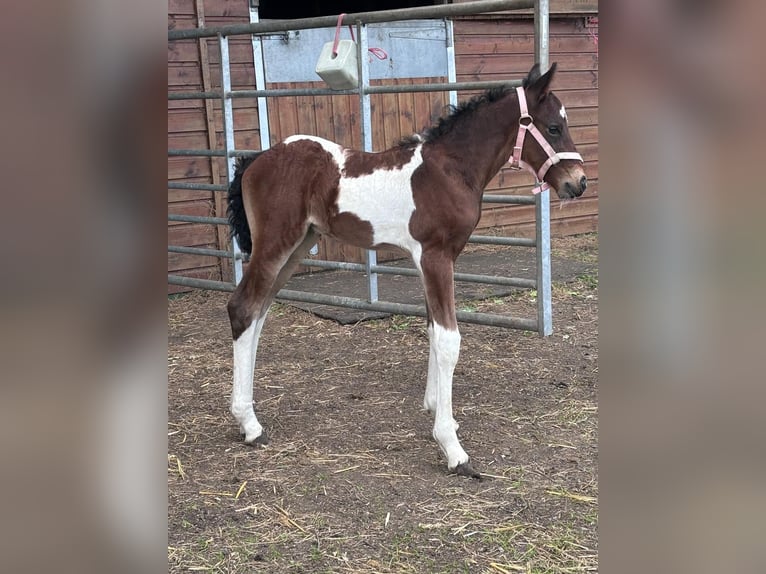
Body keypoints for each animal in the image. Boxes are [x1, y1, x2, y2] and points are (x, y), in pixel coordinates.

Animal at [228, 63, 588, 480]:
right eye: (554, 127)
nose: (578, 182)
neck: (448, 170)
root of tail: (255, 159)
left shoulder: (434, 260)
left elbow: (432, 328)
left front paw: (436, 407)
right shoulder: (435, 256)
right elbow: (448, 340)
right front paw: (452, 447)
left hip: (298, 246)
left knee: (258, 313)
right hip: (275, 245)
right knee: (243, 308)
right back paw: (250, 425)